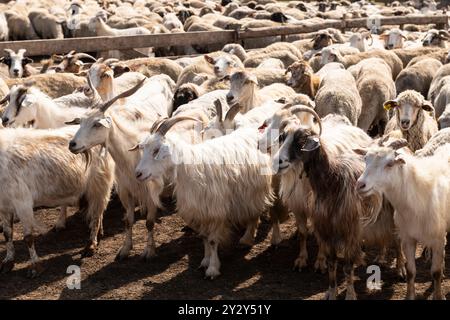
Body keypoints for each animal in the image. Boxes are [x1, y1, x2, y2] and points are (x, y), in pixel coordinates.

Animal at [0, 126, 114, 276]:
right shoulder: (4, 206)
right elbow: (7, 234)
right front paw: (8, 261)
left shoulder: (22, 203)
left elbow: (28, 238)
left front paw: (35, 267)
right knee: (98, 211)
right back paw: (99, 233)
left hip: (99, 185)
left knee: (96, 214)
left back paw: (90, 245)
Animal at [68, 75, 174, 262]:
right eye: (80, 122)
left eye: (97, 124)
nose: (72, 145)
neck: (130, 156)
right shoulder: (125, 191)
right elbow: (128, 221)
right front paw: (124, 249)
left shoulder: (150, 192)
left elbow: (149, 222)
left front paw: (149, 251)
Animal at [134, 116, 274, 278]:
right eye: (143, 149)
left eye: (156, 150)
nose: (138, 174)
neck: (189, 169)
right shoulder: (199, 211)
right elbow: (204, 238)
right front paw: (205, 261)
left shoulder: (214, 211)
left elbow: (212, 240)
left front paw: (212, 269)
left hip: (255, 192)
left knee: (254, 214)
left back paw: (246, 239)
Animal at [356, 141, 450, 300]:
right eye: (365, 159)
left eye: (390, 164)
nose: (360, 185)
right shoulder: (407, 239)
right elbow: (411, 271)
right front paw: (409, 295)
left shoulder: (438, 238)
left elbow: (436, 272)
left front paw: (438, 295)